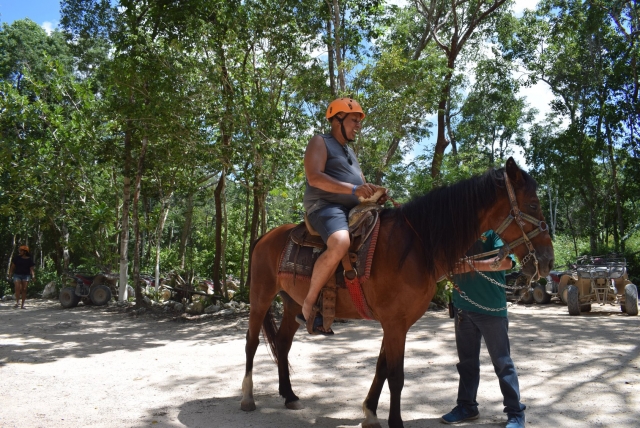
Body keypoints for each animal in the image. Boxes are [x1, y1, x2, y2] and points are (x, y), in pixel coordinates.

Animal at [240, 157, 554, 428]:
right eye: (533, 203)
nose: (548, 260)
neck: (416, 244)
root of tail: (265, 236)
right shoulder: (394, 324)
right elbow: (396, 376)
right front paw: (395, 421)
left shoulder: (394, 324)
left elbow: (382, 368)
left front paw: (370, 413)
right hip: (260, 298)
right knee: (252, 343)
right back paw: (247, 397)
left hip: (293, 304)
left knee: (282, 344)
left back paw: (289, 395)